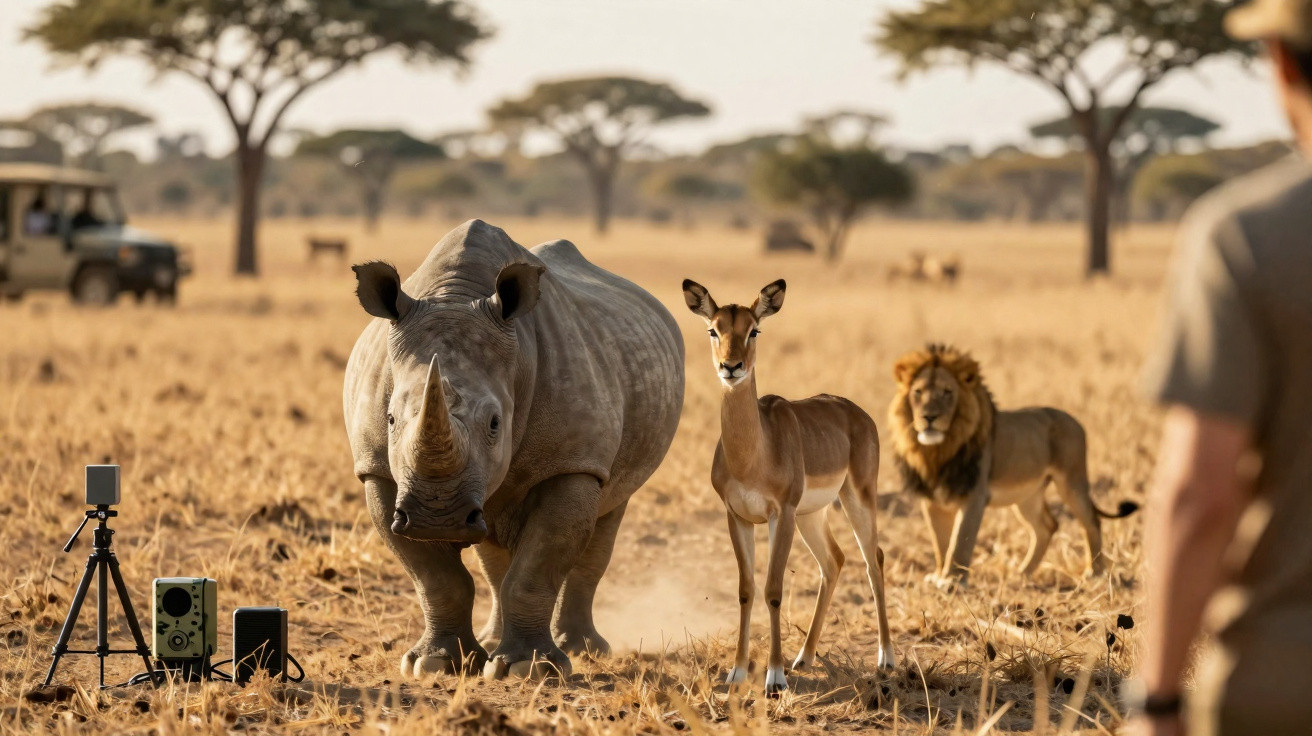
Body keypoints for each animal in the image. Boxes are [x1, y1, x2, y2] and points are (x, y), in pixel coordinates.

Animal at [888, 344, 1137, 588]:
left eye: (947, 392)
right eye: (918, 392)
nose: (929, 417)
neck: (938, 451)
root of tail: (1074, 420)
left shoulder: (974, 496)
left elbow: (960, 541)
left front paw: (953, 581)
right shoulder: (932, 501)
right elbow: (940, 543)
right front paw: (939, 575)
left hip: (1071, 481)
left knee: (1092, 521)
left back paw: (1094, 573)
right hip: (1027, 496)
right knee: (1046, 526)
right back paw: (1022, 573)